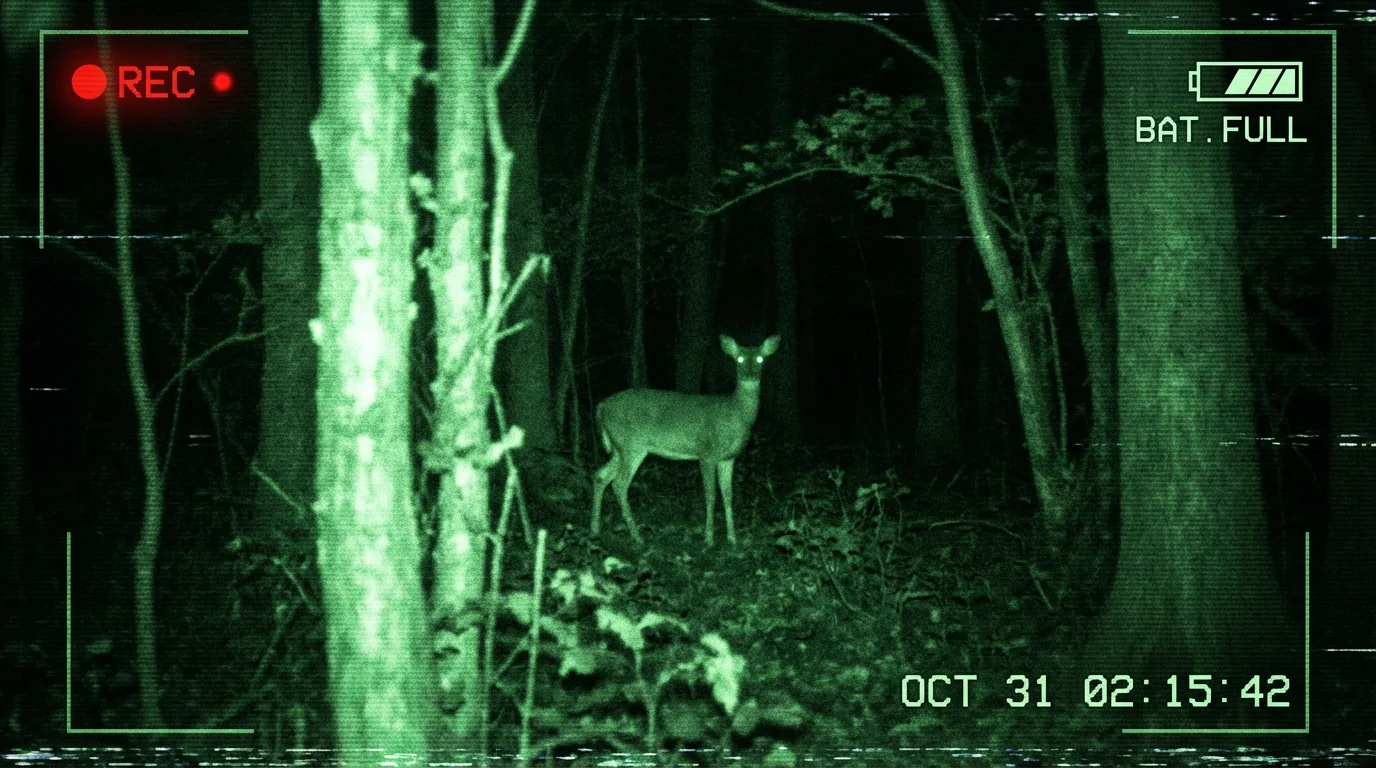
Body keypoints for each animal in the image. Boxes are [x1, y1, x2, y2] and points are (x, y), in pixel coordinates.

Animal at [591, 334, 781, 547]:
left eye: (760, 359)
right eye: (739, 359)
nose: (750, 375)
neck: (737, 415)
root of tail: (601, 407)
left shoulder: (729, 458)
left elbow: (728, 495)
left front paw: (733, 538)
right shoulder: (707, 453)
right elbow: (711, 495)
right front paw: (709, 538)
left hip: (619, 448)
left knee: (600, 476)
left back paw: (595, 530)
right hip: (632, 445)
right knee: (619, 483)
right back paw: (637, 536)